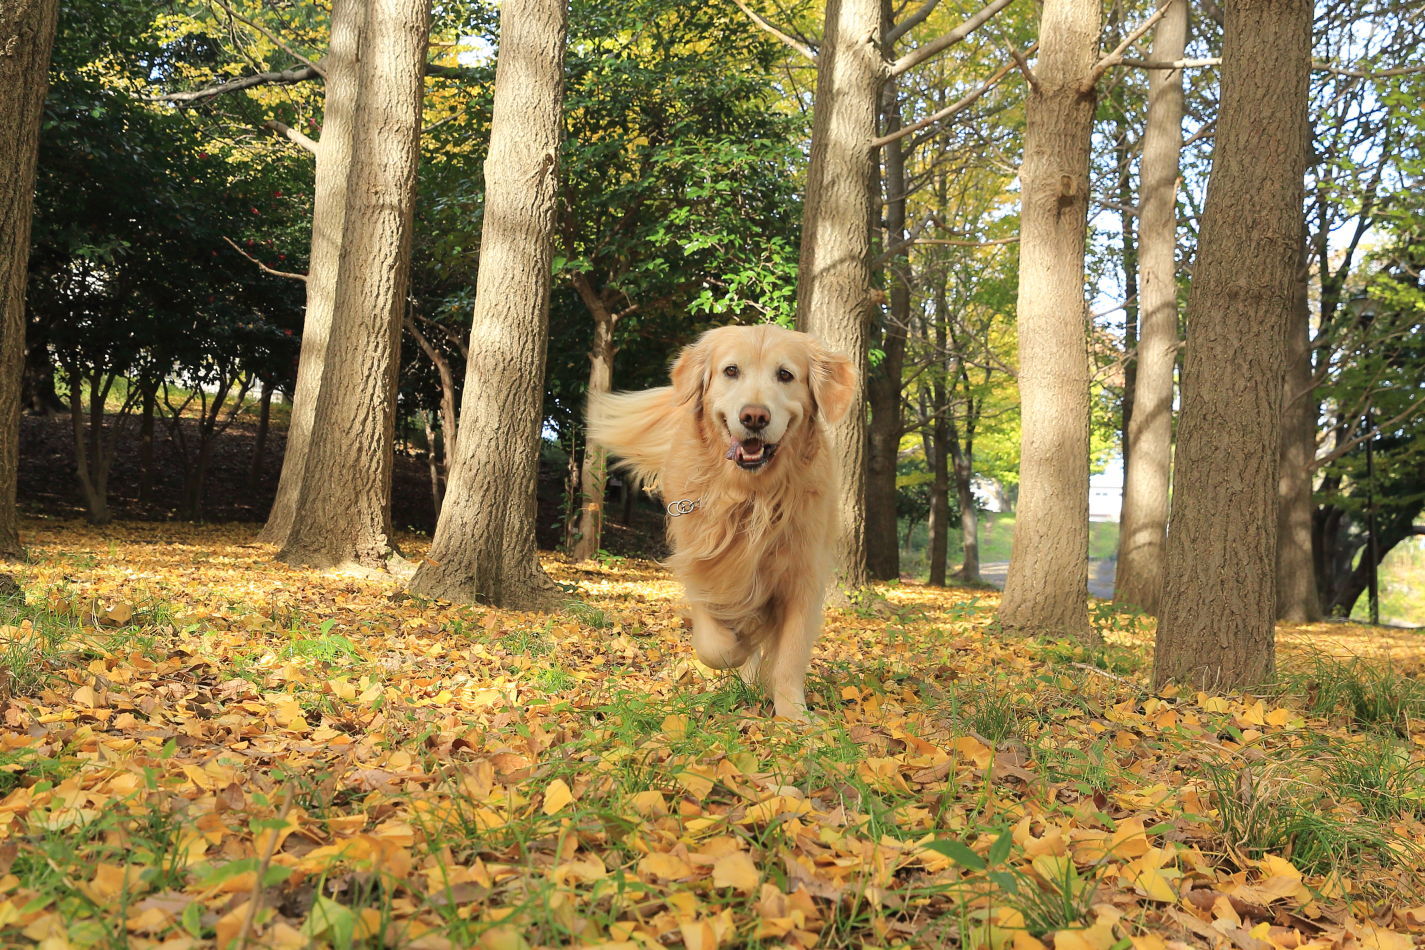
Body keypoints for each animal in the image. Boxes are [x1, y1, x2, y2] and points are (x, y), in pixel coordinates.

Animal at [581, 323, 849, 717]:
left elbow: (789, 654)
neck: (752, 496)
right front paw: (737, 649)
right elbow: (715, 645)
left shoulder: (803, 575)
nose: (754, 417)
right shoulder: (704, 564)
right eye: (731, 370)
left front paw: (794, 716)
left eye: (785, 375)